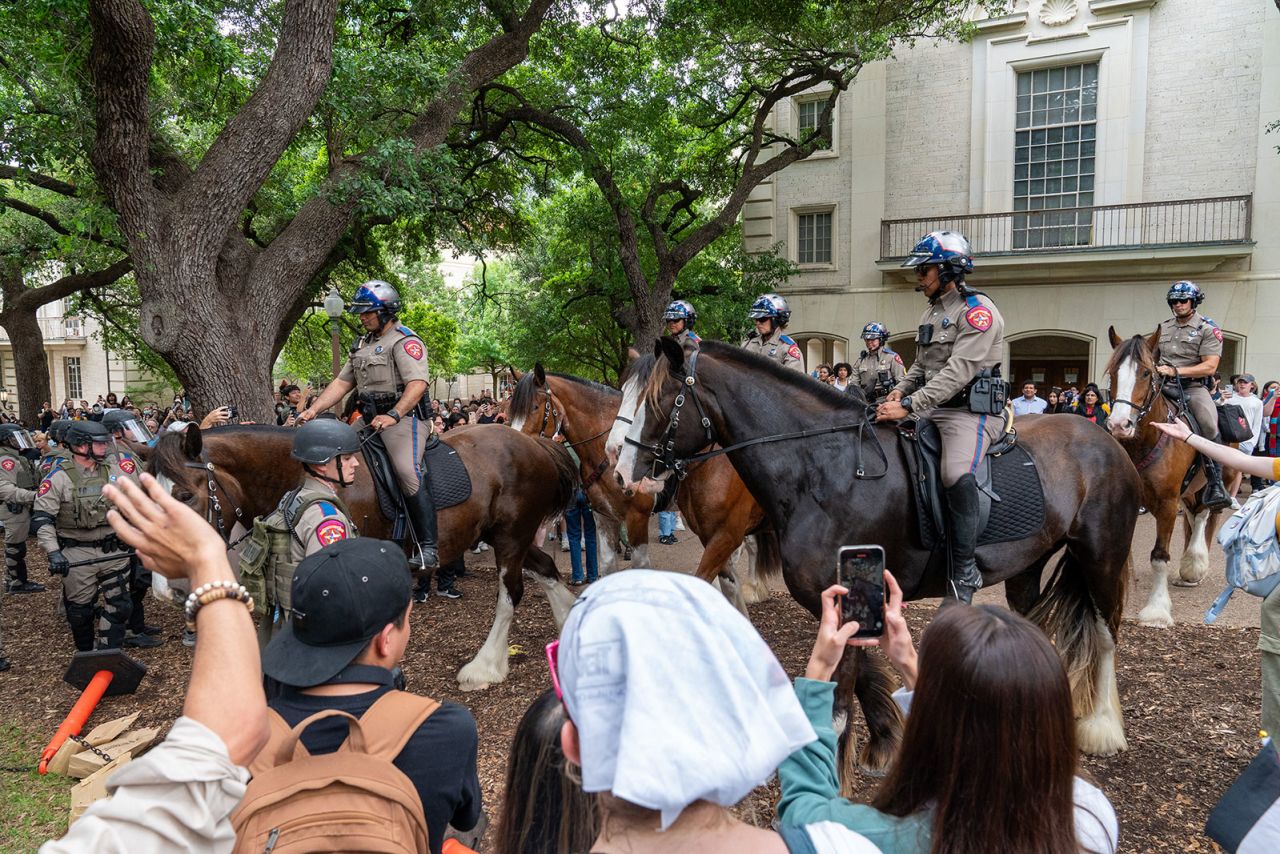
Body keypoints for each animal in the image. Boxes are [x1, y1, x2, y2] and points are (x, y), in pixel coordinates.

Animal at [146, 425, 581, 691]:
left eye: (185, 495)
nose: (166, 587)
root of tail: (535, 442)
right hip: (506, 536)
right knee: (544, 569)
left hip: (510, 537)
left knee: (510, 593)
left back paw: (485, 666)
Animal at [509, 363, 778, 612]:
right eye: (510, 409)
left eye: (535, 407)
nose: (515, 448)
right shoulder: (603, 516)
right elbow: (608, 567)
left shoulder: (637, 516)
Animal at [614, 335, 1136, 773]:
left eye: (657, 402)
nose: (620, 472)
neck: (825, 468)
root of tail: (1104, 439)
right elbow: (862, 678)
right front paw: (884, 742)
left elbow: (840, 706)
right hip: (1027, 568)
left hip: (1101, 557)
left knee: (1107, 634)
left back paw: (1103, 728)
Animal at [1100, 323, 1239, 624]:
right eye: (1113, 372)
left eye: (1146, 372)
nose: (1119, 424)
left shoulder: (1166, 504)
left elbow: (1159, 556)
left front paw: (1156, 610)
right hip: (1187, 492)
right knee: (1193, 515)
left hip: (1212, 484)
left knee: (1203, 516)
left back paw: (1193, 566)